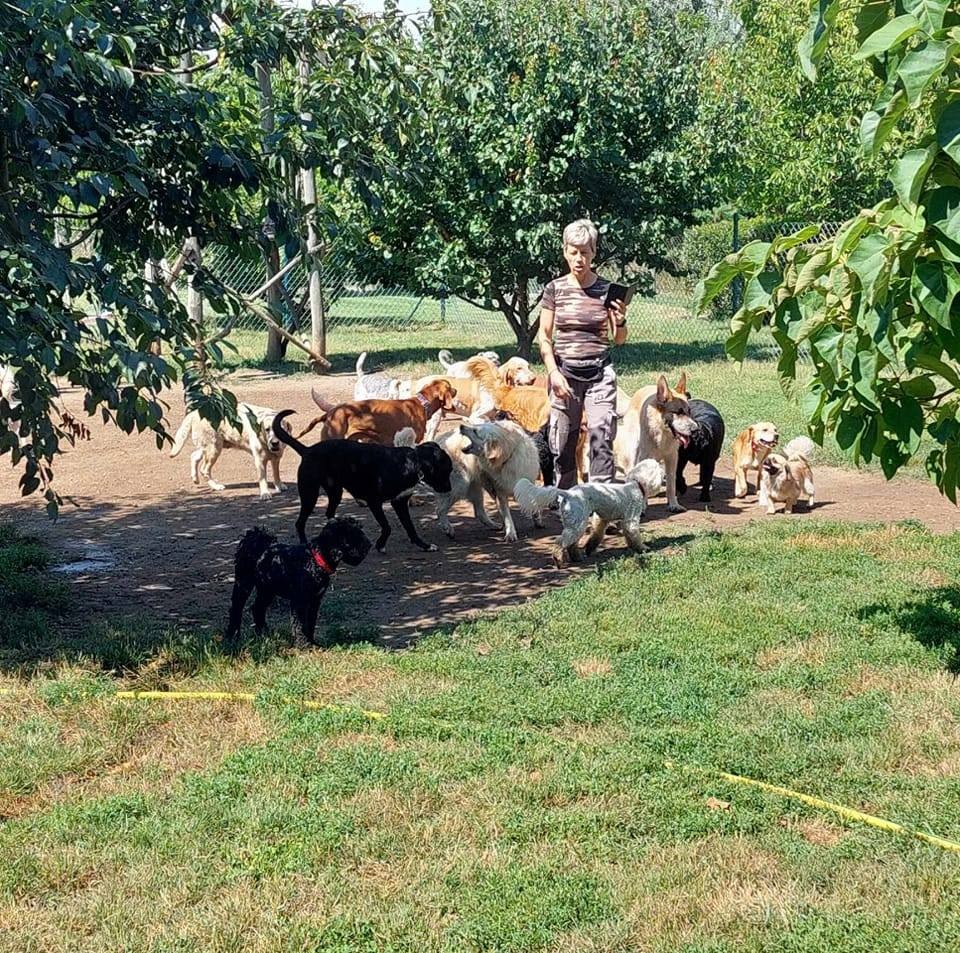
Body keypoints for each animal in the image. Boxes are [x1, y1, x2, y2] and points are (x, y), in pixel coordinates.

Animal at [225, 516, 372, 652]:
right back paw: (233, 636)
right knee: (236, 609)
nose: (369, 545)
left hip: (267, 588)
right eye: (353, 535)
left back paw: (264, 633)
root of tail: (252, 538)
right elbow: (300, 624)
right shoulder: (299, 601)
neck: (314, 560)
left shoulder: (315, 600)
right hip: (244, 583)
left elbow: (310, 623)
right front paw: (304, 645)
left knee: (257, 608)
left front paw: (312, 642)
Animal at [270, 410, 450, 552]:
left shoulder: (399, 502)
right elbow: (387, 527)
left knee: (329, 513)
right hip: (310, 494)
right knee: (300, 523)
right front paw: (380, 545)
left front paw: (424, 545)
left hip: (335, 492)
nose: (449, 489)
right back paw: (304, 543)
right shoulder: (374, 502)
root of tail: (307, 450)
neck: (411, 462)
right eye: (446, 471)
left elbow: (410, 528)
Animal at [512, 460, 664, 564]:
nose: (664, 473)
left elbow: (596, 536)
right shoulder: (631, 520)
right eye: (657, 467)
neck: (636, 485)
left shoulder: (601, 520)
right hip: (578, 524)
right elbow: (634, 536)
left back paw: (577, 557)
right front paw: (643, 548)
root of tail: (568, 493)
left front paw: (589, 549)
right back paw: (557, 559)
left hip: (576, 523)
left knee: (571, 544)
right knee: (561, 541)